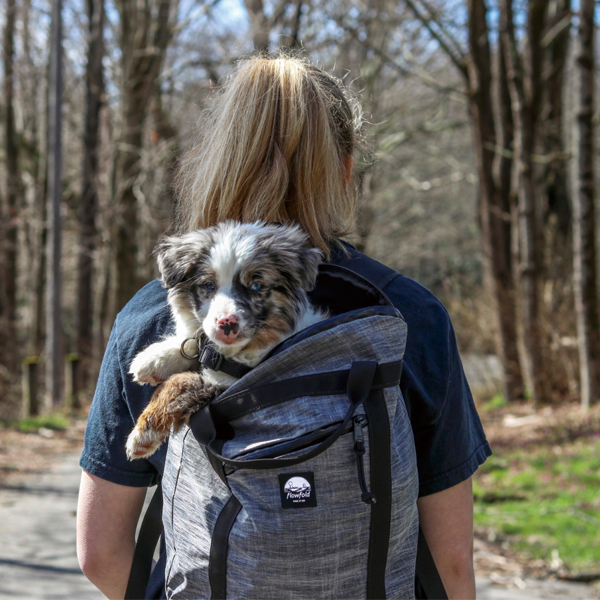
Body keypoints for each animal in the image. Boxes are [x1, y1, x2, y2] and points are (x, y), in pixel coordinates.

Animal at [123, 220, 326, 460]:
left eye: (256, 286)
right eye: (209, 285)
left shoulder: (227, 389)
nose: (226, 323)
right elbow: (194, 343)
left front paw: (143, 433)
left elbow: (181, 381)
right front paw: (154, 359)